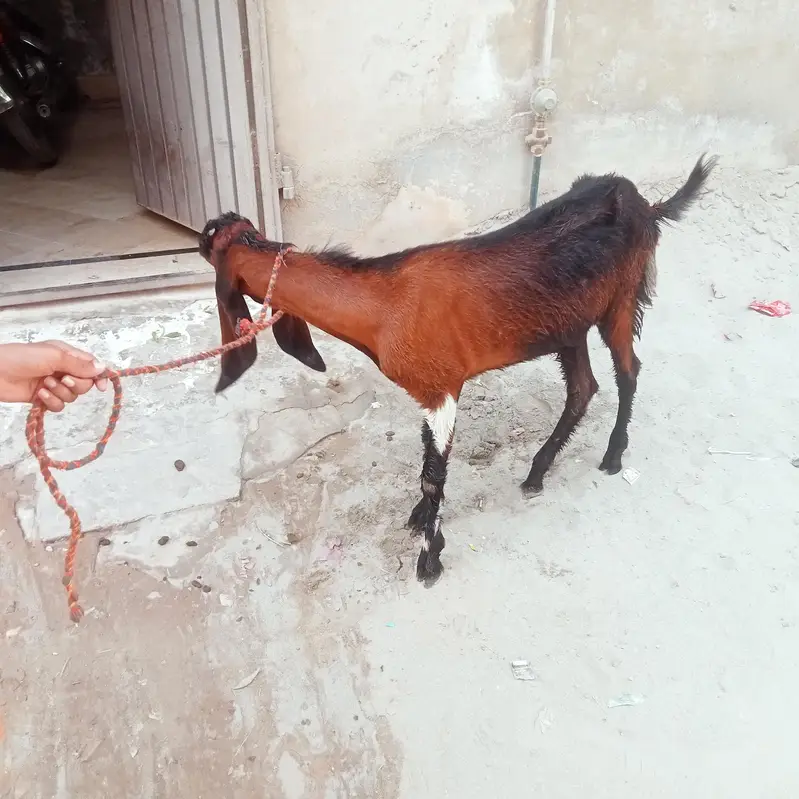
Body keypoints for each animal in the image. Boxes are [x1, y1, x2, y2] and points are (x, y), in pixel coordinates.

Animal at [199, 155, 717, 584]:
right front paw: (419, 521)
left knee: (628, 371)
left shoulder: (441, 389)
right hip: (568, 326)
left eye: (207, 242)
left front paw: (430, 559)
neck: (384, 305)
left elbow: (434, 475)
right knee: (583, 388)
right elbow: (427, 465)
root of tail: (647, 205)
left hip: (621, 301)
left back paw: (612, 456)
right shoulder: (430, 396)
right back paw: (537, 472)